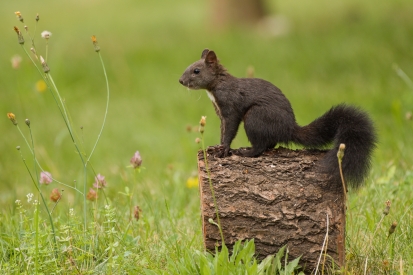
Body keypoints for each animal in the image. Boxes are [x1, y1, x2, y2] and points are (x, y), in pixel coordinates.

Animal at [178, 49, 376, 188]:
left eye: (196, 71)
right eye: (189, 66)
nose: (180, 81)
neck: (216, 86)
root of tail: (289, 129)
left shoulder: (231, 108)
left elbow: (230, 130)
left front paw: (224, 149)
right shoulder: (220, 115)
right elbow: (222, 131)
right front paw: (215, 147)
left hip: (255, 116)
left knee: (260, 146)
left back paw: (246, 152)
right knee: (270, 143)